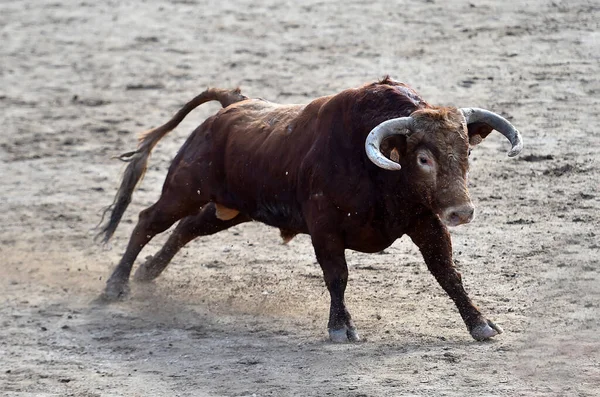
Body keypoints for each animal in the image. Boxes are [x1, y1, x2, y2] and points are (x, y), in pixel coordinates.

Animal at [97, 76, 520, 340]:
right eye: (423, 159)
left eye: (466, 152)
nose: (461, 212)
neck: (375, 169)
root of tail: (233, 105)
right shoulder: (324, 228)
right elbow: (337, 276)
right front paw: (340, 328)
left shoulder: (425, 220)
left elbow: (447, 273)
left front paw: (480, 324)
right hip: (185, 188)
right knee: (147, 221)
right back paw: (115, 286)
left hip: (231, 208)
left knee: (187, 227)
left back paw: (148, 271)